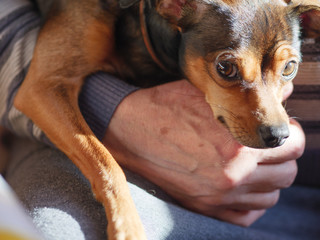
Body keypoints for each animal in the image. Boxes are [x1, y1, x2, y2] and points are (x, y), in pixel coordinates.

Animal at [13, 0, 320, 239]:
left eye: (290, 68)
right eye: (225, 67)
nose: (278, 135)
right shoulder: (43, 87)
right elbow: (106, 163)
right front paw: (127, 226)